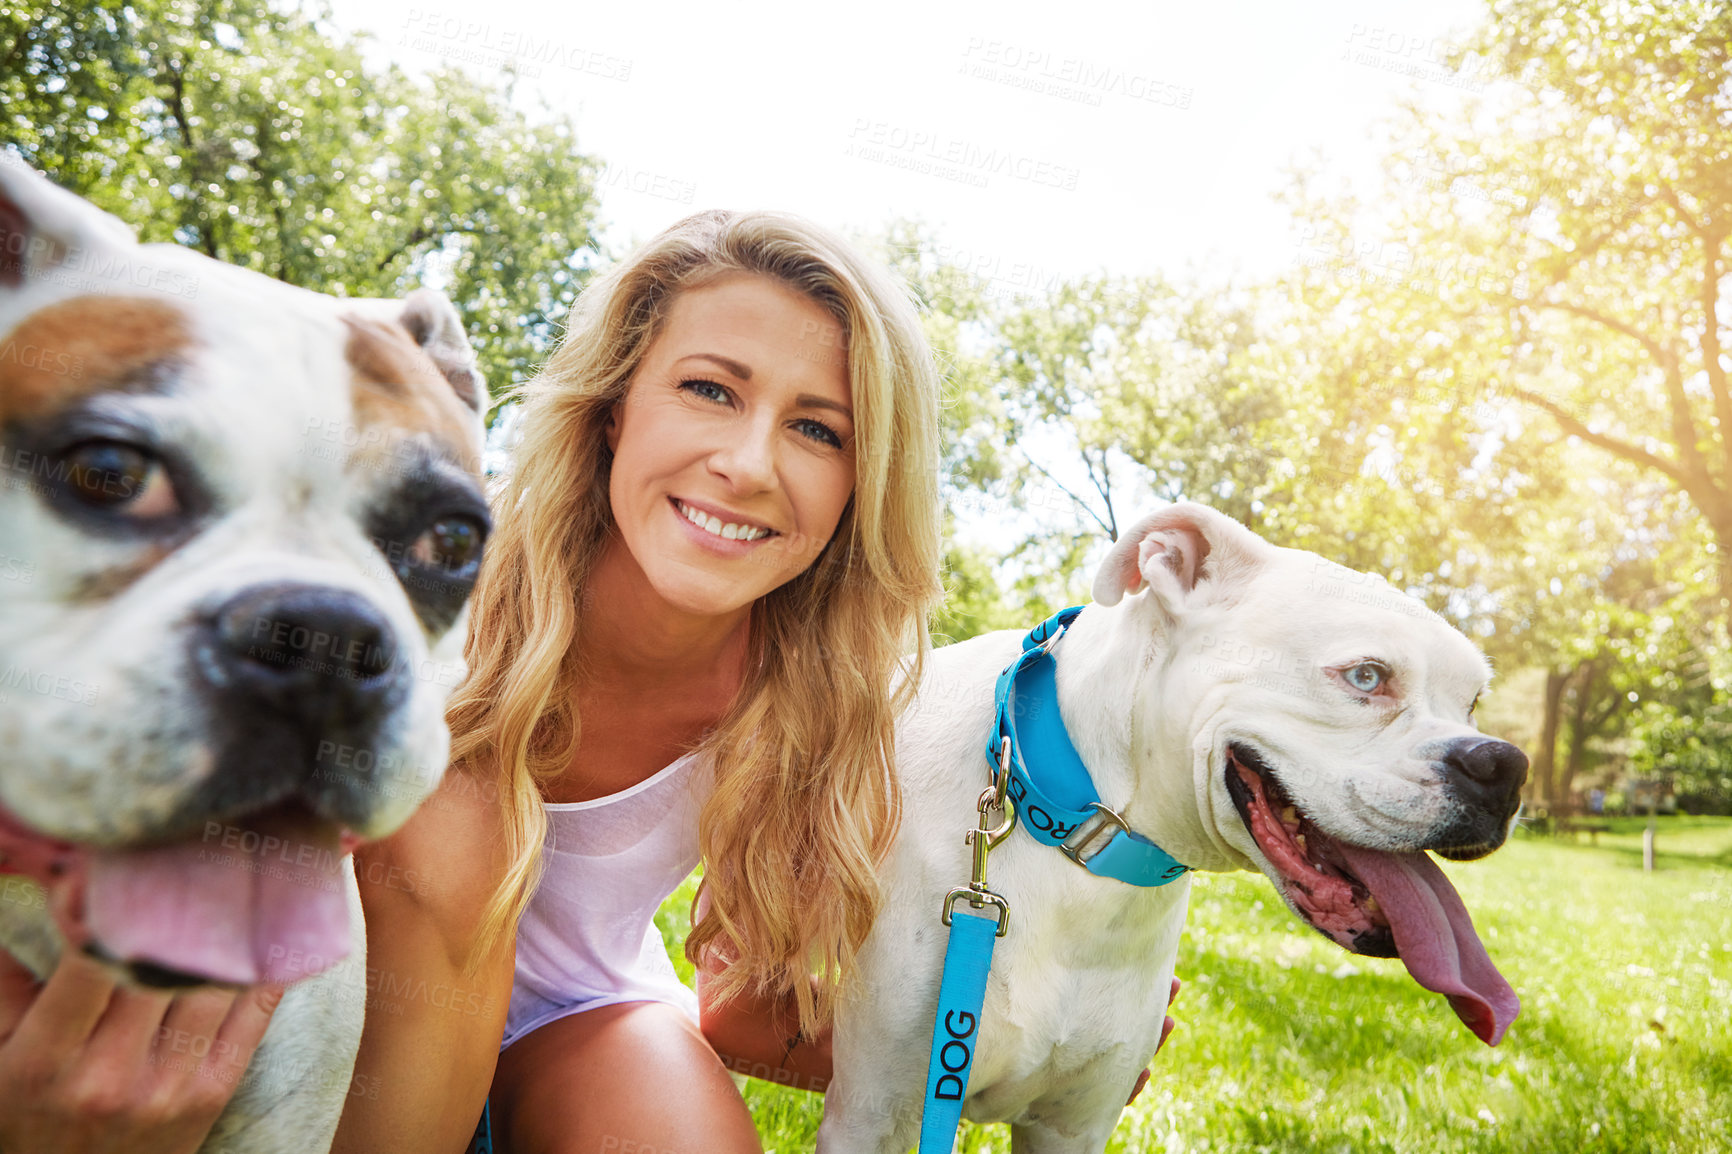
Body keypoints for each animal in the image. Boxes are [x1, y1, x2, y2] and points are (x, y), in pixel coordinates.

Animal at [824, 502, 1531, 1150]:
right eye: (1366, 675)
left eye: (1472, 702)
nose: (1504, 768)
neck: (1077, 837)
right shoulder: (872, 1114)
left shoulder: (1073, 1126)